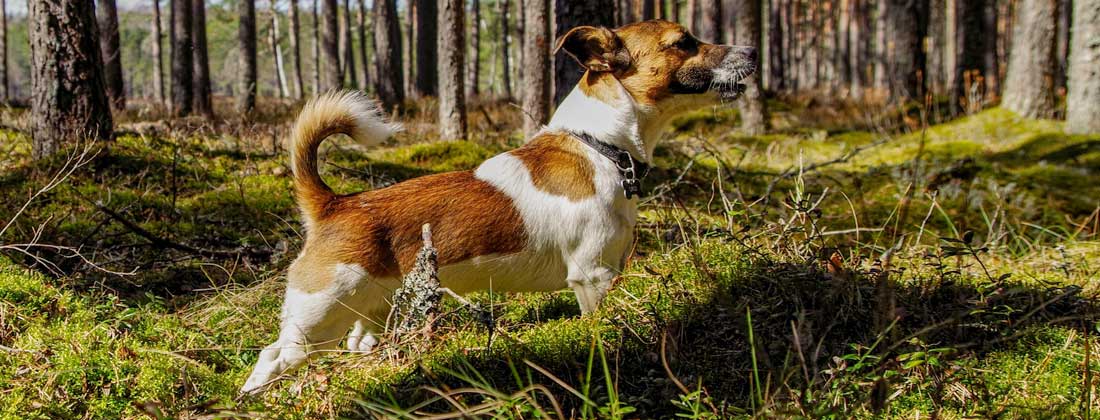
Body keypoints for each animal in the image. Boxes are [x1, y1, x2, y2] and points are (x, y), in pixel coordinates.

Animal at [240, 18, 756, 393]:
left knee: (355, 344)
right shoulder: (593, 278)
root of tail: (335, 204)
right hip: (317, 320)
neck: (599, 146)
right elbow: (598, 327)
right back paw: (252, 397)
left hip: (366, 317)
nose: (753, 52)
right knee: (271, 357)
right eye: (684, 42)